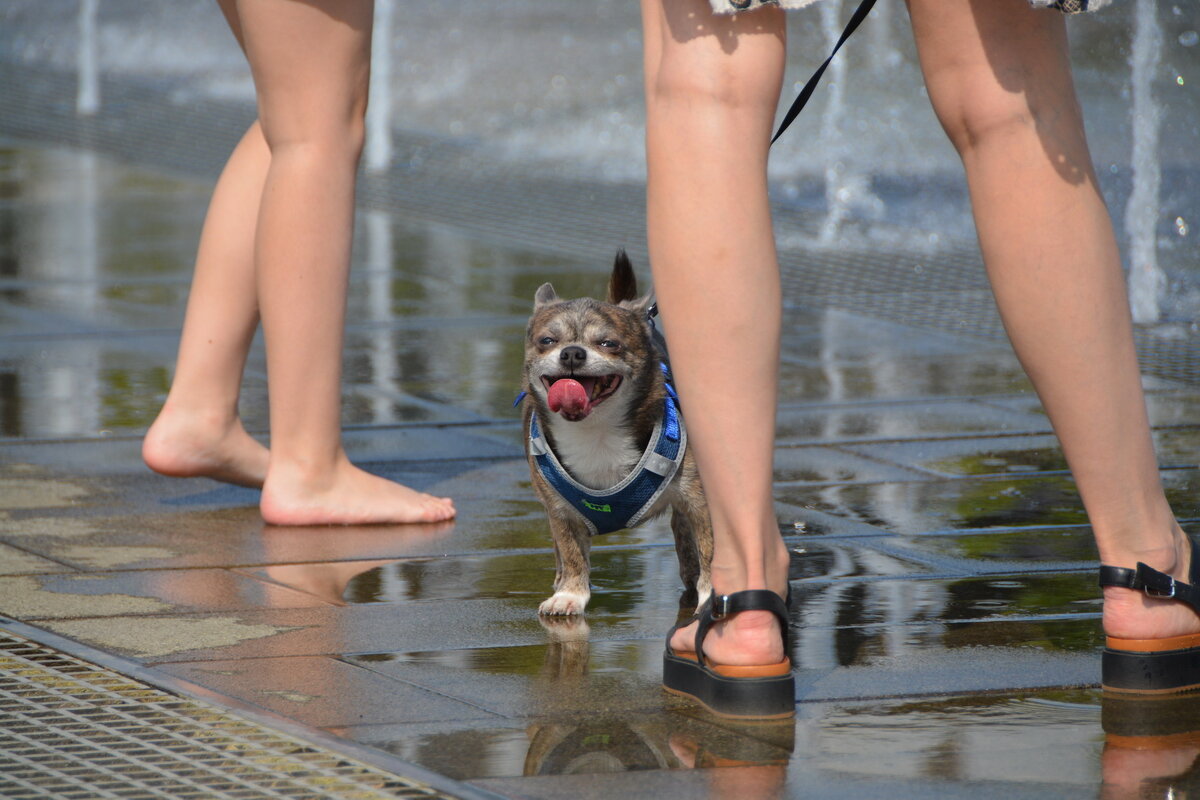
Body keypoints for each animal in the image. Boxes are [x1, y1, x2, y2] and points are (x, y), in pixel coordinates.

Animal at [518, 253, 705, 618]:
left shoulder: (697, 498)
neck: (596, 431)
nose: (572, 352)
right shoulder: (559, 512)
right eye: (547, 341)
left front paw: (710, 596)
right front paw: (571, 594)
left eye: (608, 344)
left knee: (686, 540)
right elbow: (571, 552)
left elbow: (711, 548)